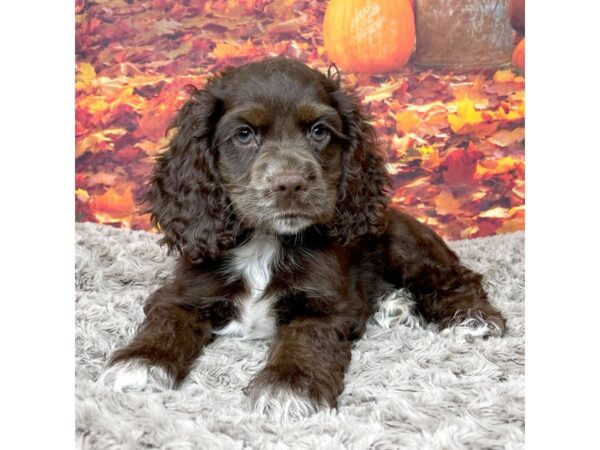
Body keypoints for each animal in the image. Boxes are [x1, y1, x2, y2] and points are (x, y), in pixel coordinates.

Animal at [99, 56, 506, 418]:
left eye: (319, 131)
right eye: (244, 134)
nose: (290, 183)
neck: (265, 242)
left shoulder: (324, 305)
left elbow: (305, 340)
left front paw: (287, 388)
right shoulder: (184, 292)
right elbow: (166, 323)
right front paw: (139, 364)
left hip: (402, 241)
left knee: (458, 278)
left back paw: (472, 319)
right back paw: (396, 305)